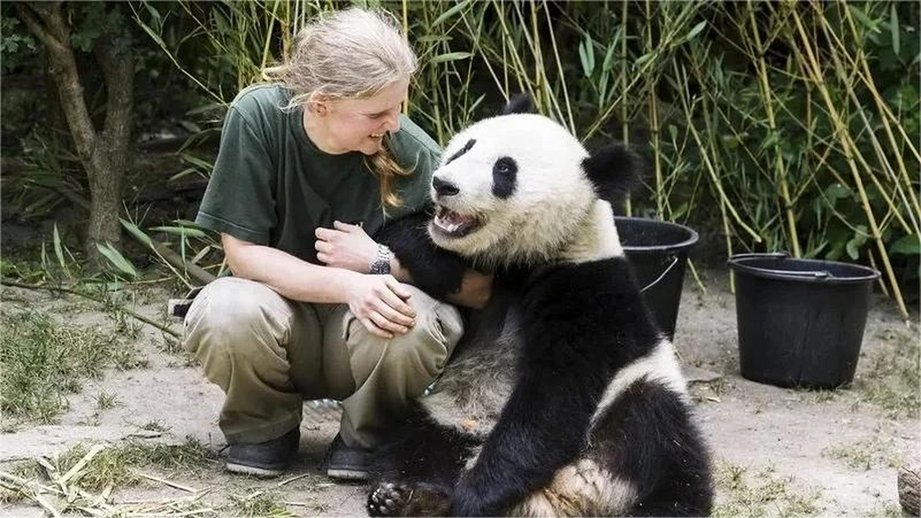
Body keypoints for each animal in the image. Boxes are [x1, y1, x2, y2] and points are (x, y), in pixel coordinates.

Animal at [368, 96, 713, 517]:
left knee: (657, 431)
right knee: (416, 444)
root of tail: (557, 497)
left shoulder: (587, 294)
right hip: (448, 416)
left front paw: (475, 497)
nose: (443, 184)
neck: (527, 257)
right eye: (467, 147)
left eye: (504, 169)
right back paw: (406, 498)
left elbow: (553, 399)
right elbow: (415, 243)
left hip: (641, 396)